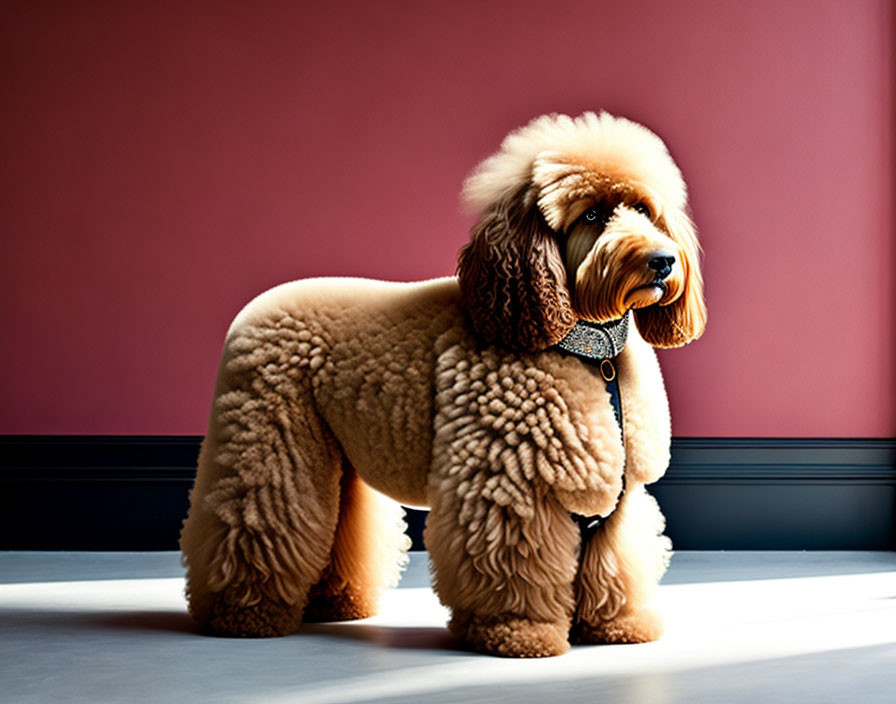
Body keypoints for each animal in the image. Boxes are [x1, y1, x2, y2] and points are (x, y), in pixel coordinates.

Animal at [178, 113, 704, 656]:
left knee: (335, 522)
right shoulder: (504, 482)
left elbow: (614, 563)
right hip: (270, 440)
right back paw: (245, 613)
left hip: (336, 454)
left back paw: (335, 603)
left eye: (644, 210)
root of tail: (256, 307)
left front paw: (616, 626)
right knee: (256, 516)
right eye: (593, 214)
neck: (591, 352)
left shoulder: (622, 495)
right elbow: (512, 562)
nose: (663, 260)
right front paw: (516, 631)